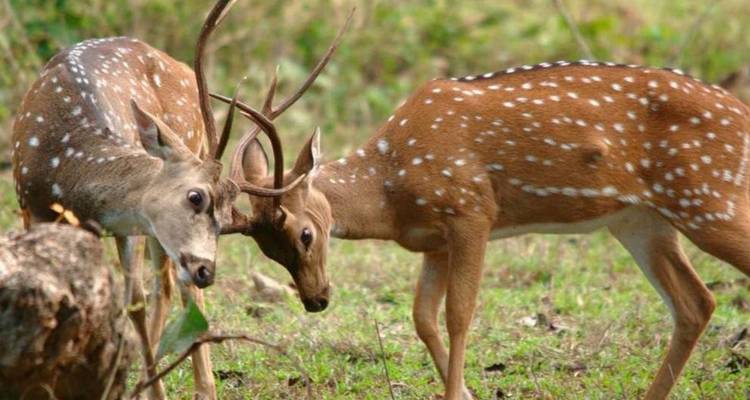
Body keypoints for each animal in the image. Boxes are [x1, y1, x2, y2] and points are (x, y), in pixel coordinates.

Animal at [8, 1, 318, 398]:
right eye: (195, 197)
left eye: (224, 221)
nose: (207, 271)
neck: (66, 162)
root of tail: (180, 64)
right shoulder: (28, 206)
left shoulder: (131, 226)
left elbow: (134, 303)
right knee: (168, 285)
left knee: (176, 290)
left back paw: (197, 385)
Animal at [215, 60, 750, 399]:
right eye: (267, 251)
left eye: (306, 234)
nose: (316, 300)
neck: (390, 190)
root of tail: (741, 113)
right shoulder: (433, 240)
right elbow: (422, 317)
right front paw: (468, 391)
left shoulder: (471, 209)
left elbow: (459, 313)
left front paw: (457, 393)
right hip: (641, 220)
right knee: (697, 302)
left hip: (709, 198)